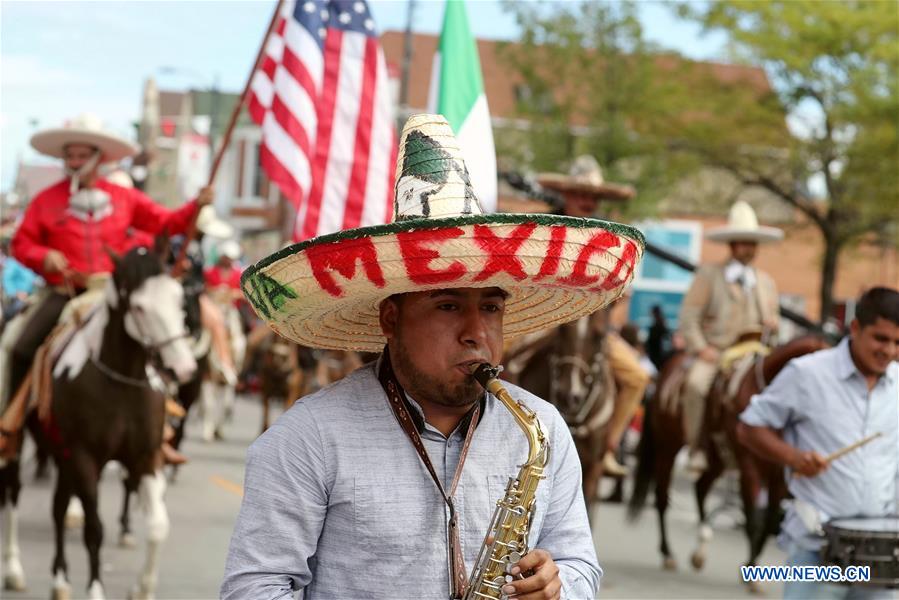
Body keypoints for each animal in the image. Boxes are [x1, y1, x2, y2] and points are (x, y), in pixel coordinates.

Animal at [46, 239, 198, 600]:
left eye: (178, 299)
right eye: (139, 308)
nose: (184, 368)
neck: (121, 382)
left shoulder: (148, 457)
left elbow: (158, 526)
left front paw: (142, 588)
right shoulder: (83, 457)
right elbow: (94, 529)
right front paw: (95, 589)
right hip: (61, 455)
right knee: (58, 509)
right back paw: (58, 579)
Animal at [628, 338, 828, 592]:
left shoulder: (779, 473)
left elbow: (770, 521)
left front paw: (752, 566)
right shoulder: (749, 467)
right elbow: (753, 520)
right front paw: (751, 571)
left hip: (717, 459)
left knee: (701, 489)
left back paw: (700, 548)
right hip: (667, 446)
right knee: (662, 498)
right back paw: (668, 553)